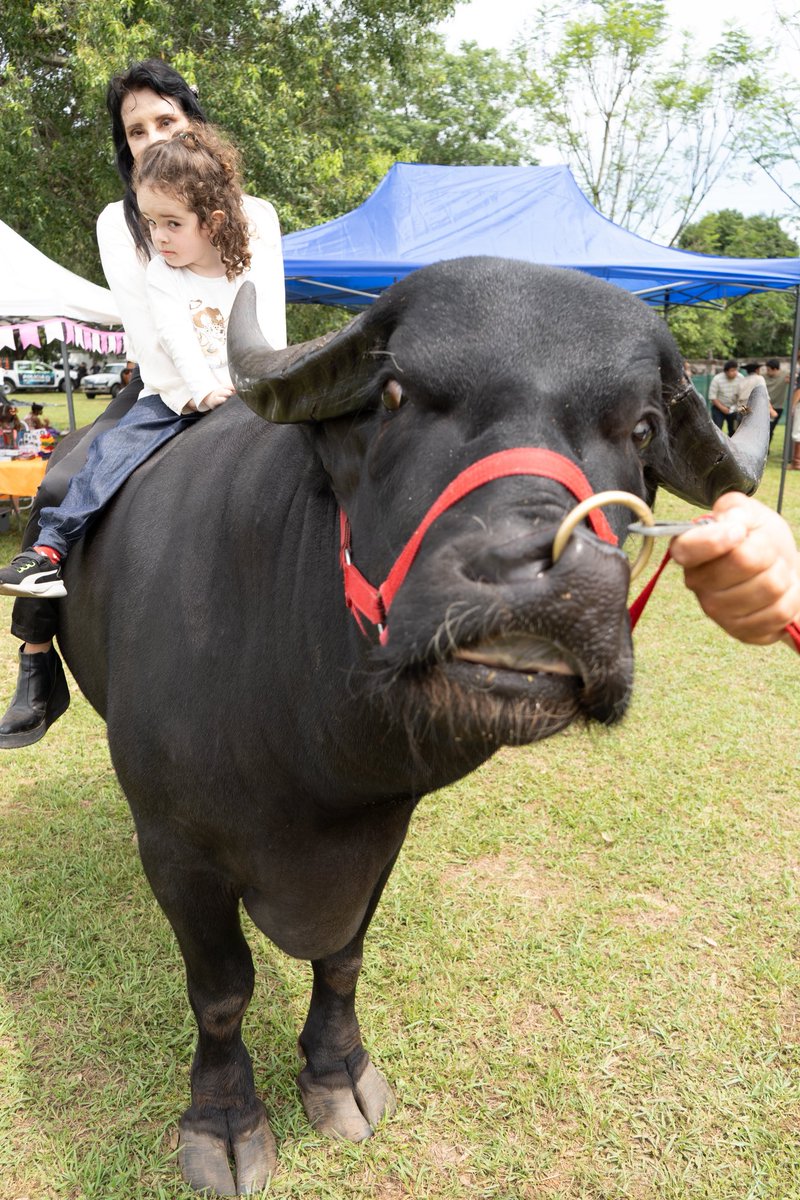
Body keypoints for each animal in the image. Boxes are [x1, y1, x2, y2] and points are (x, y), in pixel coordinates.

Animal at [54, 257, 768, 1195]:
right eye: (394, 393)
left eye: (643, 427)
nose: (541, 572)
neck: (311, 770)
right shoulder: (180, 850)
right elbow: (222, 991)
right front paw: (225, 1119)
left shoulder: (383, 834)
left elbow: (343, 957)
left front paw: (337, 1073)